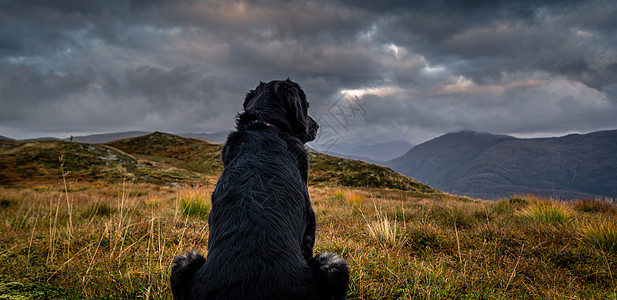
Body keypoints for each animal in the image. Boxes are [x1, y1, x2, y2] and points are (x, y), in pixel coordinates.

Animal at [171, 78, 348, 298]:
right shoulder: (309, 219)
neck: (265, 124)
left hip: (183, 261)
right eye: (306, 105)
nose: (316, 126)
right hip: (334, 264)